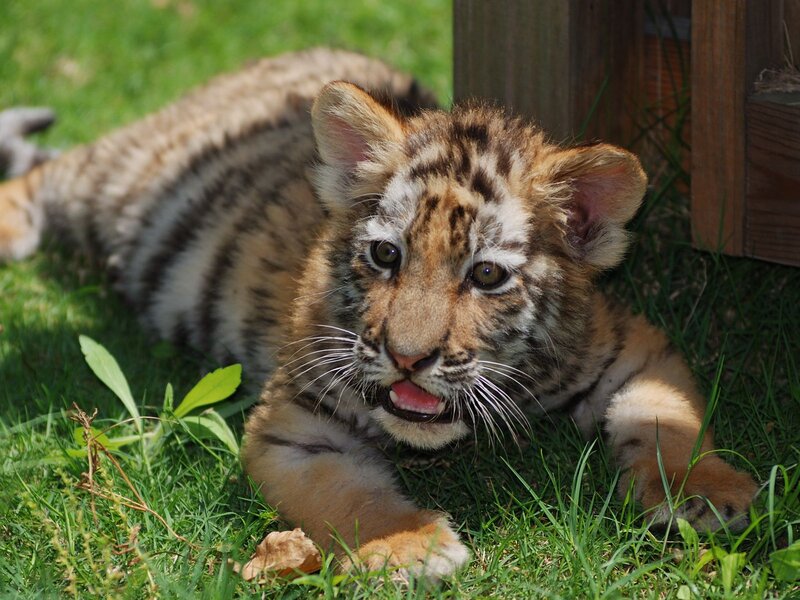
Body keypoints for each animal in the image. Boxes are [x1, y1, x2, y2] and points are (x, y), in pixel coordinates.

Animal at [0, 47, 758, 582]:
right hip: (118, 180)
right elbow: (346, 495)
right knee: (44, 175)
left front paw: (703, 490)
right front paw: (409, 547)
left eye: (486, 275)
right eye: (386, 256)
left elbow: (666, 418)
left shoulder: (632, 347)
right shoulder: (294, 426)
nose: (407, 358)